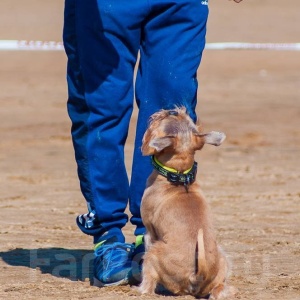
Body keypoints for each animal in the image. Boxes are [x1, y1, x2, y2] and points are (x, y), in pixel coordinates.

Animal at [139, 107, 232, 298]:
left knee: (148, 282)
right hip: (222, 258)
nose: (172, 110)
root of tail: (197, 276)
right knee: (219, 289)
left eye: (163, 119)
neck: (179, 175)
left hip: (154, 251)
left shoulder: (149, 232)